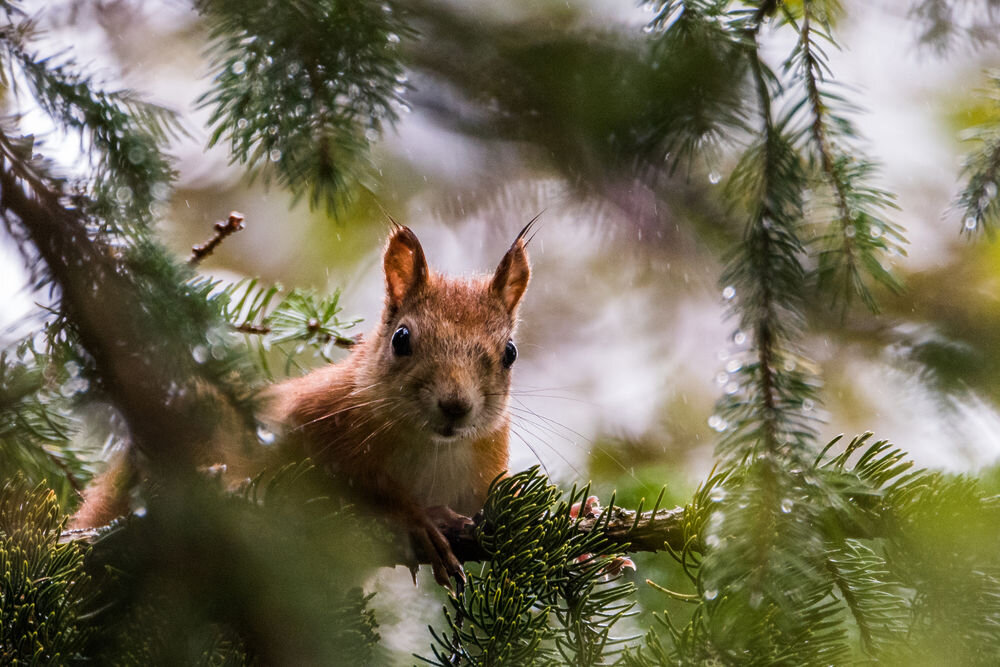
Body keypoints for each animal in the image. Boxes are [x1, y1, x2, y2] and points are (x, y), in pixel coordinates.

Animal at [72, 223, 532, 584]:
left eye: (510, 353)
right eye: (401, 339)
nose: (455, 405)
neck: (435, 448)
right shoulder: (313, 420)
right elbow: (357, 488)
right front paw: (416, 518)